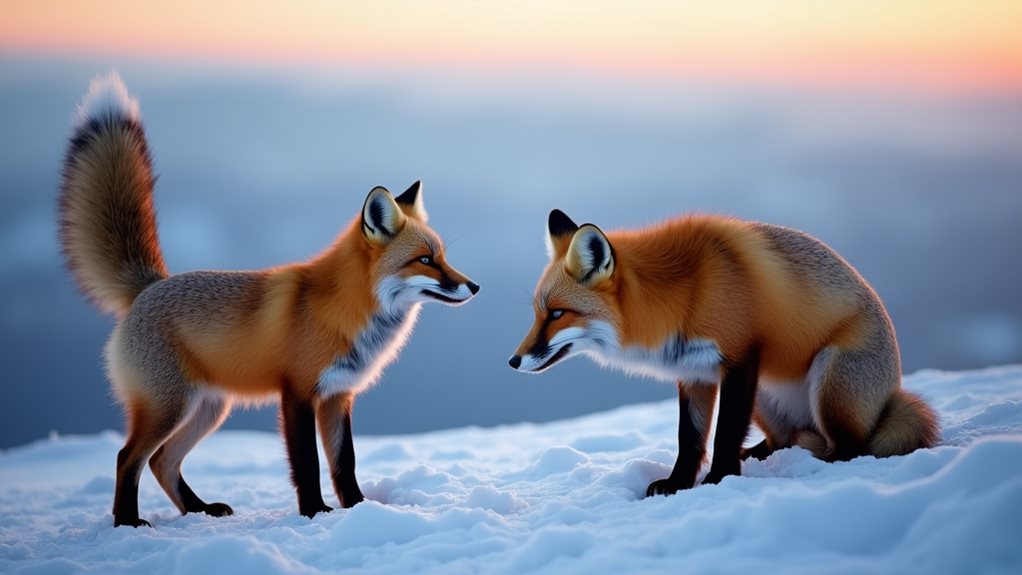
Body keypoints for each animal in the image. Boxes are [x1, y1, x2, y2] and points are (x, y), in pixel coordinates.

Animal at [59, 73, 479, 527]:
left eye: (444, 257)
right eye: (425, 260)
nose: (474, 287)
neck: (349, 313)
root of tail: (150, 286)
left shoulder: (338, 396)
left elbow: (344, 462)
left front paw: (358, 509)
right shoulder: (297, 392)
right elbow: (308, 464)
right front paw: (314, 512)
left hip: (208, 409)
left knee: (161, 462)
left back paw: (201, 510)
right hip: (169, 407)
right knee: (127, 458)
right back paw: (127, 522)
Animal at [509, 209, 938, 496]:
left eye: (557, 314)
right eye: (538, 314)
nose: (513, 361)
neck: (685, 296)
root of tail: (889, 395)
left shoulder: (740, 358)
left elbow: (726, 431)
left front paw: (719, 480)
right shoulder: (695, 371)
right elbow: (690, 439)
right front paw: (678, 484)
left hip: (829, 378)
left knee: (853, 446)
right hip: (767, 393)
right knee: (784, 439)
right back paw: (762, 455)